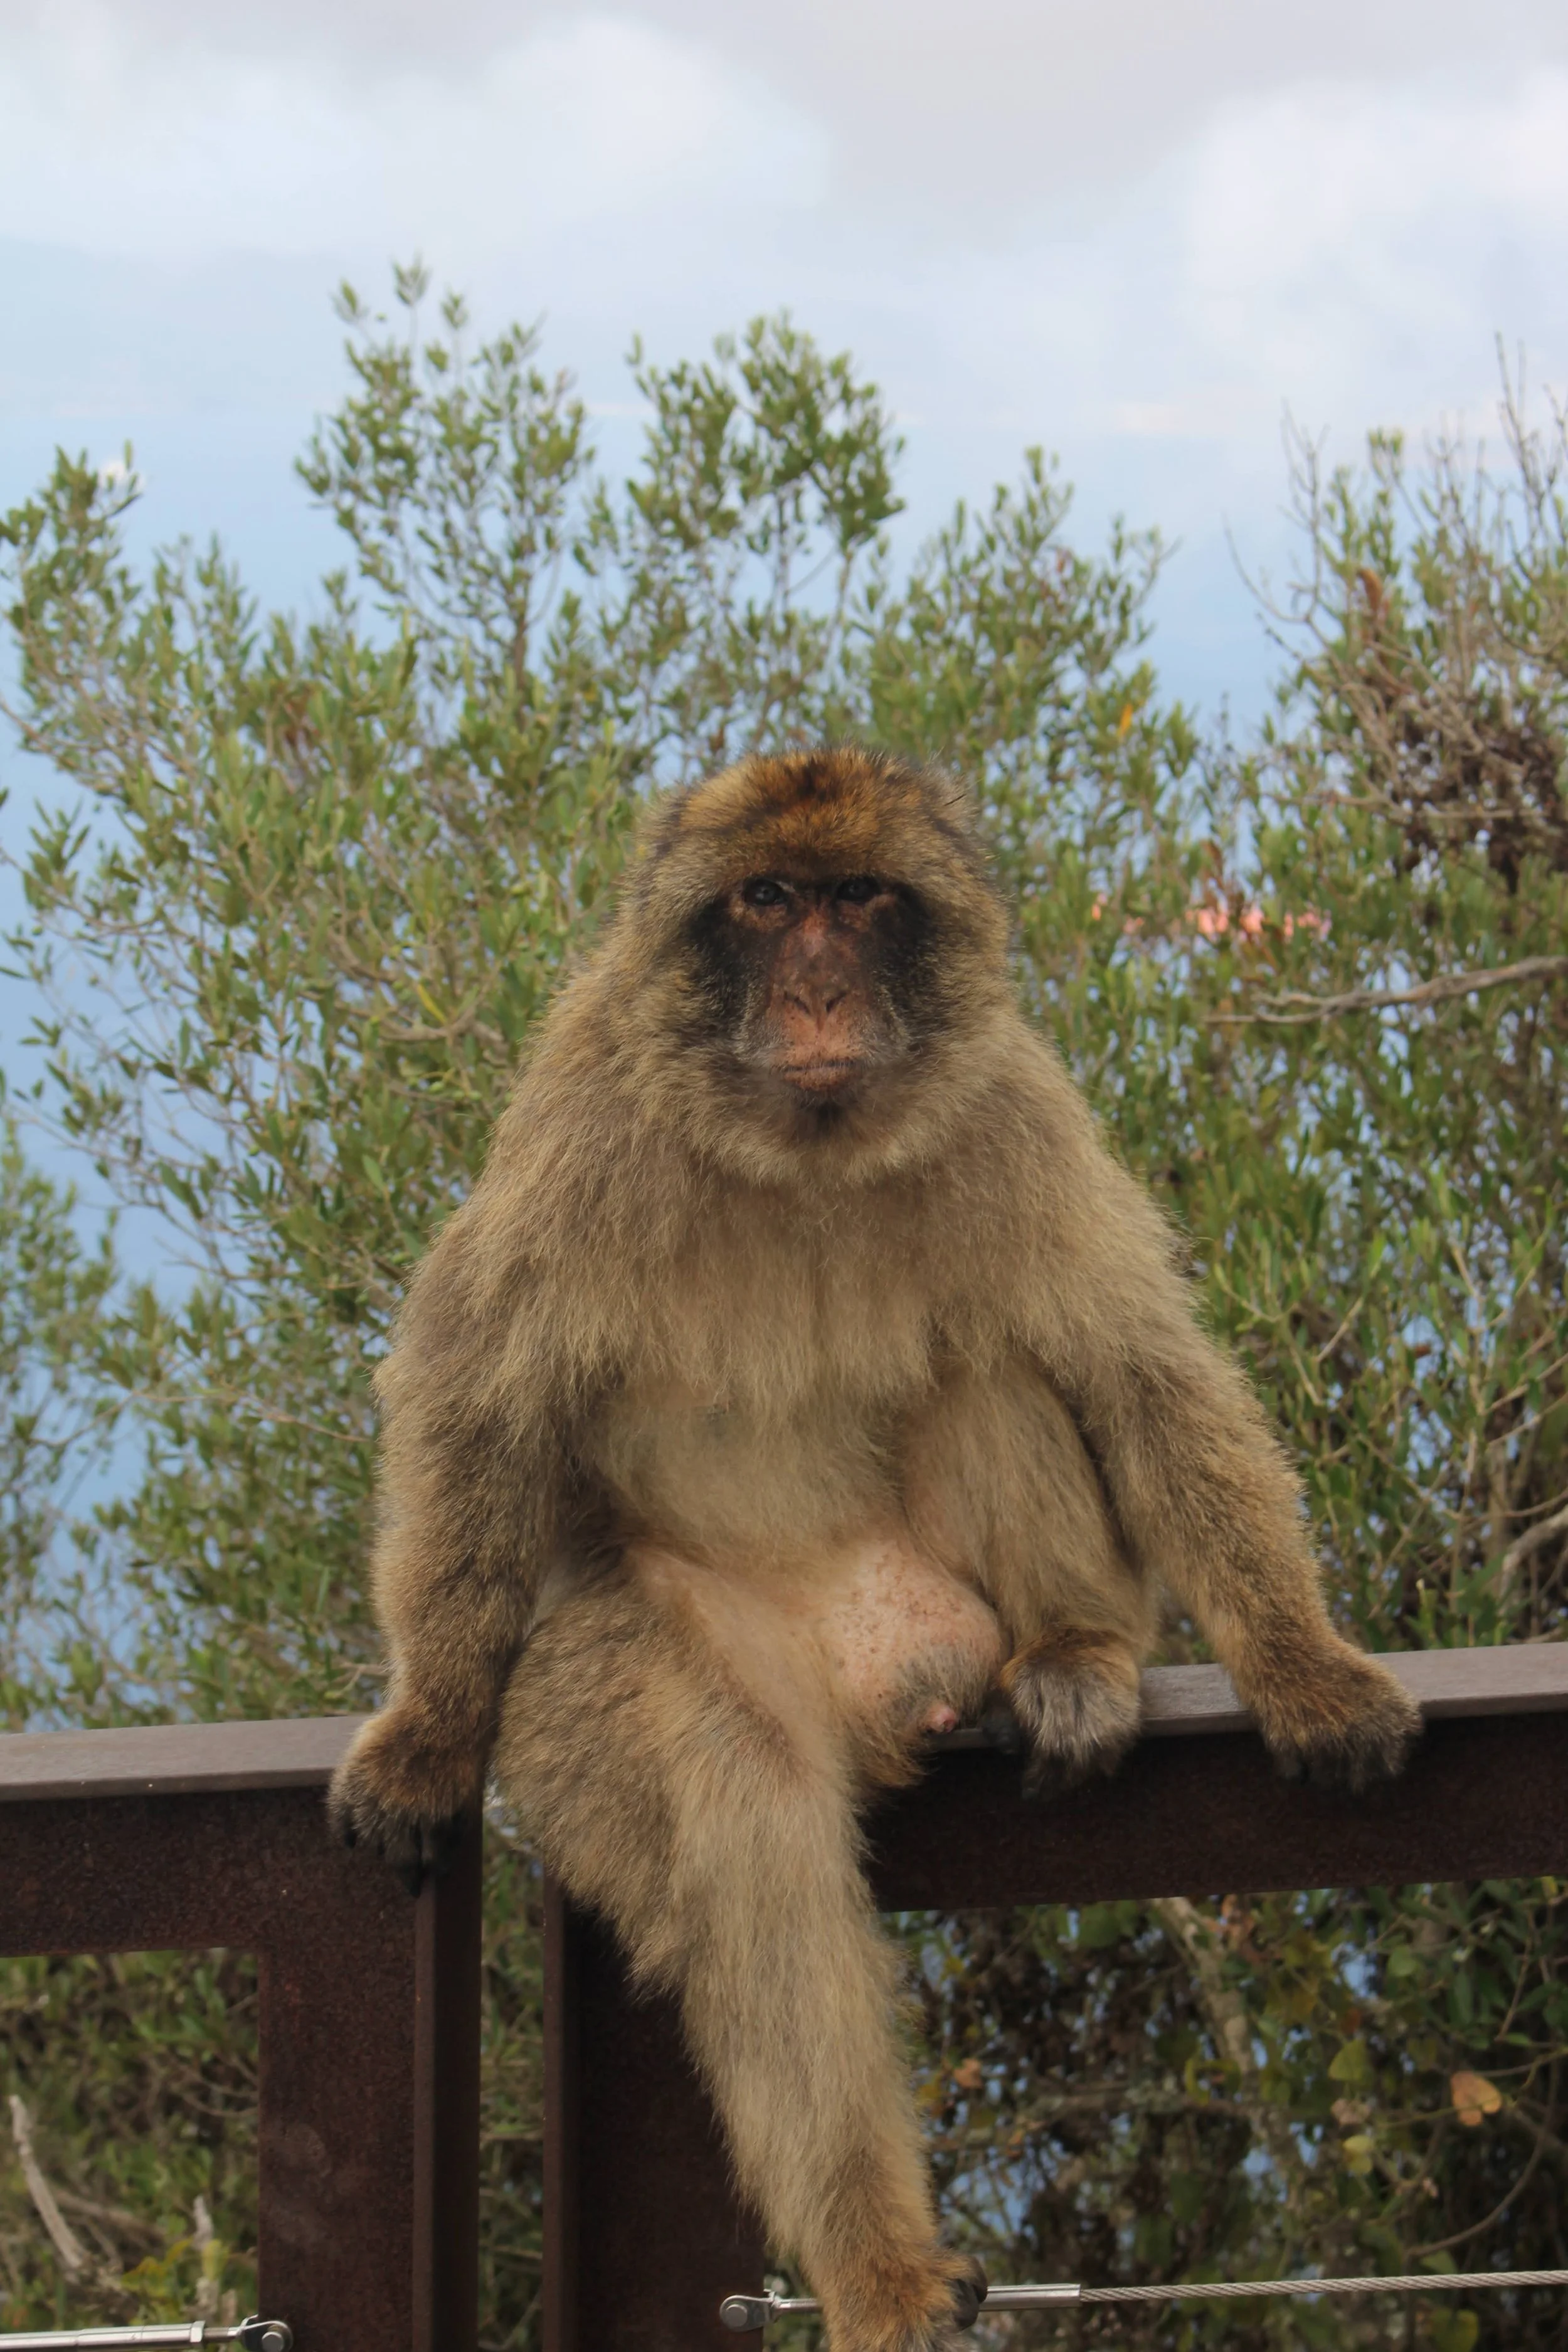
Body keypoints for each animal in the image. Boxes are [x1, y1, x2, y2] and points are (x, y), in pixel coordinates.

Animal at [329, 746, 1420, 2351]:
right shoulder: (582, 1113)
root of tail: (890, 1682)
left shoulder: (1015, 1104)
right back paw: (880, 2266)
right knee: (745, 1822)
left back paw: (1077, 1655)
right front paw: (424, 1727)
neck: (804, 1151)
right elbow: (480, 1389)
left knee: (995, 1366)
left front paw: (1304, 1666)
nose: (819, 988)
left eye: (857, 899)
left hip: (958, 1603)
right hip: (670, 1650)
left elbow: (1138, 1372)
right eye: (767, 902)